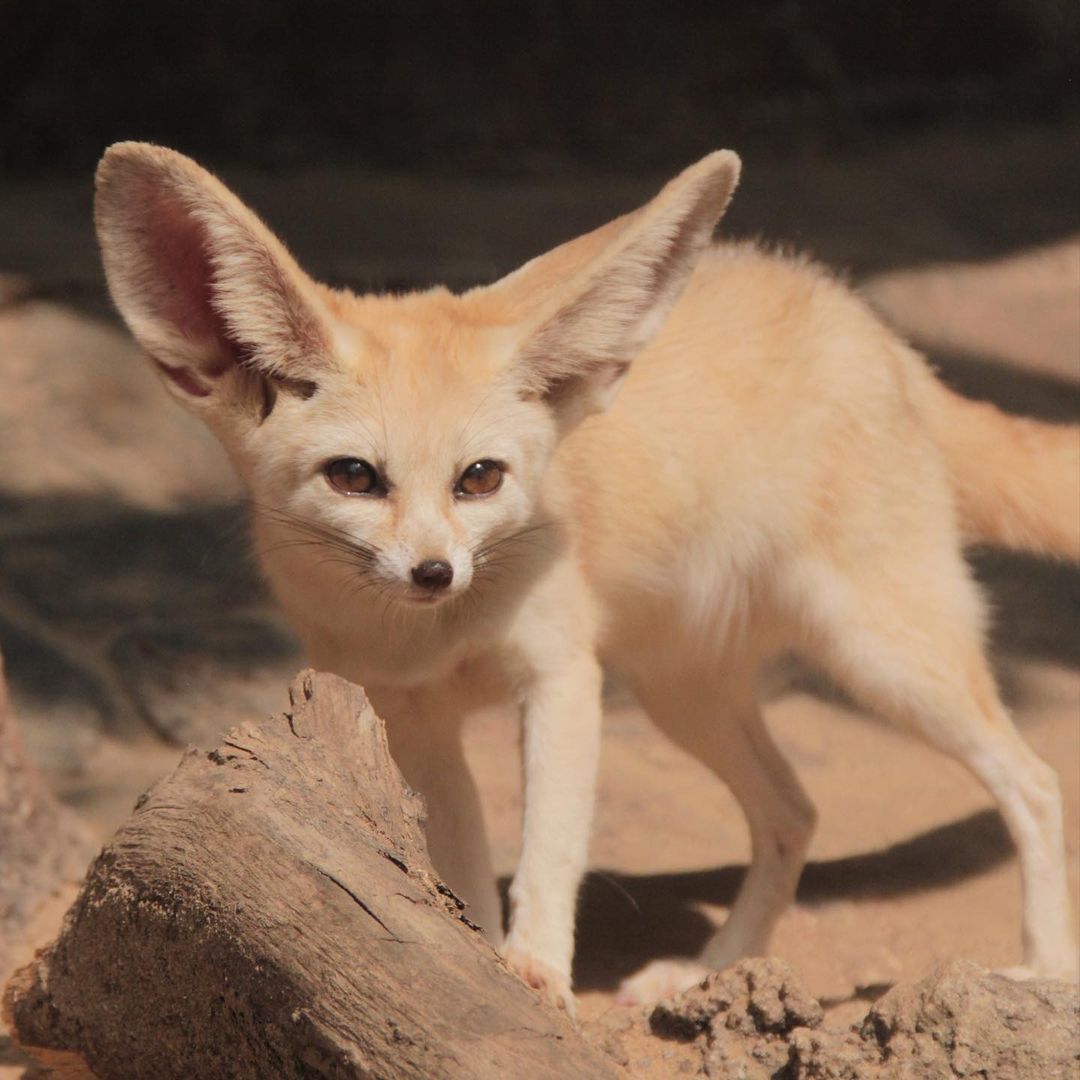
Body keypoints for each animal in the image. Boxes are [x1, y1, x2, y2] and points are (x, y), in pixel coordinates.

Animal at [93, 142, 1079, 1012]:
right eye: (355, 477)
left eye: (479, 478)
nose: (434, 571)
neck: (435, 633)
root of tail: (865, 321)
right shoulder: (413, 720)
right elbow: (462, 870)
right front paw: (474, 966)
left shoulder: (562, 680)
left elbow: (550, 852)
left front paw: (535, 972)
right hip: (684, 694)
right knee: (795, 811)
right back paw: (713, 972)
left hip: (881, 660)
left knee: (1033, 781)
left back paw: (1042, 969)